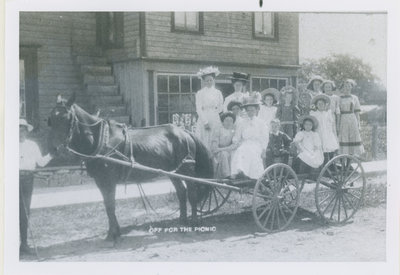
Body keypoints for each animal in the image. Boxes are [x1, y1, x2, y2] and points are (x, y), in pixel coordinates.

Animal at [48, 94, 214, 242]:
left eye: (66, 118)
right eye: (50, 120)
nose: (55, 149)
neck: (101, 139)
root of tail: (185, 132)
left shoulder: (108, 181)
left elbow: (110, 205)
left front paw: (113, 234)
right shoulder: (100, 181)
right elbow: (108, 206)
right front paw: (114, 232)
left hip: (186, 170)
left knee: (192, 193)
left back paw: (193, 222)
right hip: (174, 171)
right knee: (181, 192)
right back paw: (182, 221)